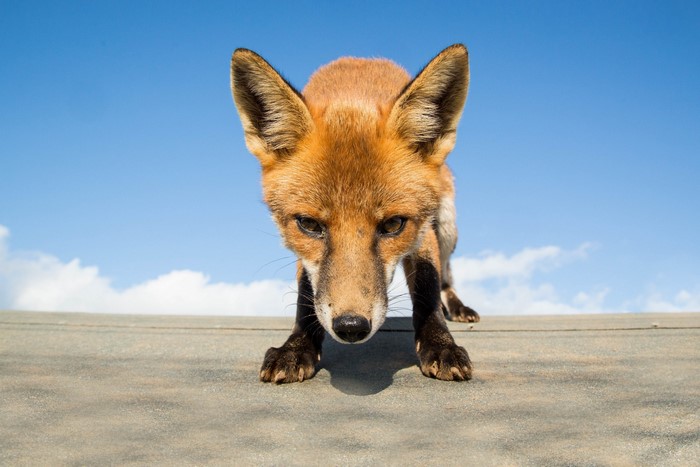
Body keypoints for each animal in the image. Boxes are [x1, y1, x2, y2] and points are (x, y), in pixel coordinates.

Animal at [230, 44, 480, 384]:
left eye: (393, 224)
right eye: (309, 224)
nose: (351, 327)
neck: (352, 94)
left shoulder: (422, 226)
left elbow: (427, 286)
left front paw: (440, 344)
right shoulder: (301, 247)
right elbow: (306, 294)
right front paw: (297, 346)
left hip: (446, 224)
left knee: (446, 275)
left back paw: (456, 308)